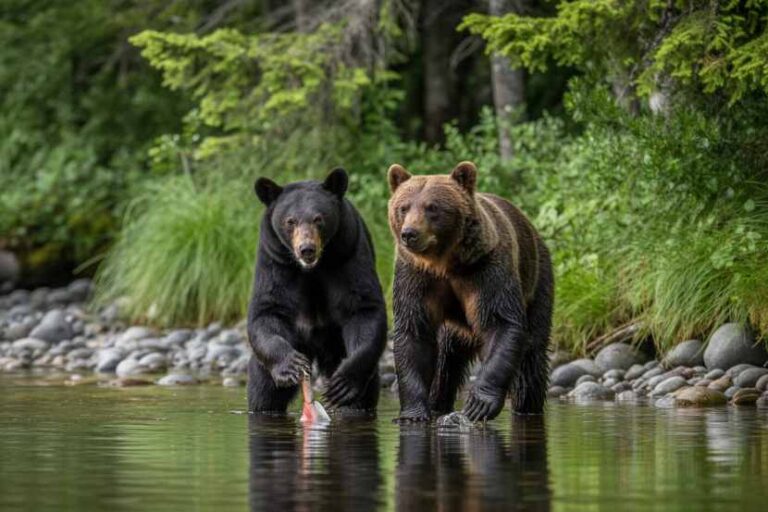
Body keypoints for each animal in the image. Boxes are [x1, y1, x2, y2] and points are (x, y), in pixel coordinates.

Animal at [247, 168, 387, 414]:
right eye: (290, 221)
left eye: (318, 219)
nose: (306, 249)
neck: (313, 268)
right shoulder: (274, 261)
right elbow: (267, 310)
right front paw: (290, 365)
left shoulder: (348, 253)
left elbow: (363, 306)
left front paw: (343, 384)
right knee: (264, 389)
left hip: (336, 342)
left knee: (365, 393)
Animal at [387, 161, 553, 422]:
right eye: (403, 207)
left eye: (432, 207)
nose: (409, 233)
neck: (445, 263)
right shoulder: (415, 276)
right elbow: (414, 333)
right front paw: (412, 413)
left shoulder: (487, 270)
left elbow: (500, 323)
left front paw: (479, 404)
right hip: (451, 329)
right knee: (444, 361)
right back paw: (437, 403)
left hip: (537, 281)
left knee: (531, 356)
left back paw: (527, 408)